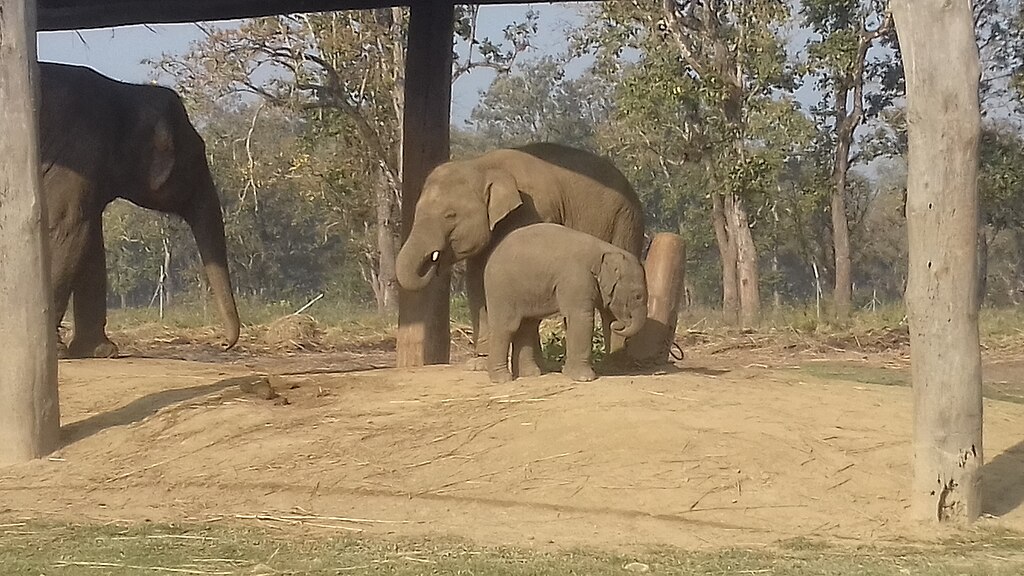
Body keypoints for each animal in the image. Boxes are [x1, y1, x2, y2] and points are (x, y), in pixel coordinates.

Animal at [36, 63, 241, 358]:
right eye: (196, 157)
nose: (225, 343)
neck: (127, 92)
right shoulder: (79, 154)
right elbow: (67, 229)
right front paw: (59, 353)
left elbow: (90, 242)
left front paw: (101, 351)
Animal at [481, 223, 643, 381]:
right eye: (638, 296)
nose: (618, 325)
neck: (607, 250)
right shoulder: (577, 278)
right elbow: (581, 317)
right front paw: (585, 378)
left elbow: (581, 318)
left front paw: (569, 373)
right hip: (501, 290)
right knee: (507, 327)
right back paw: (503, 379)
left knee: (526, 326)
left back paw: (530, 374)